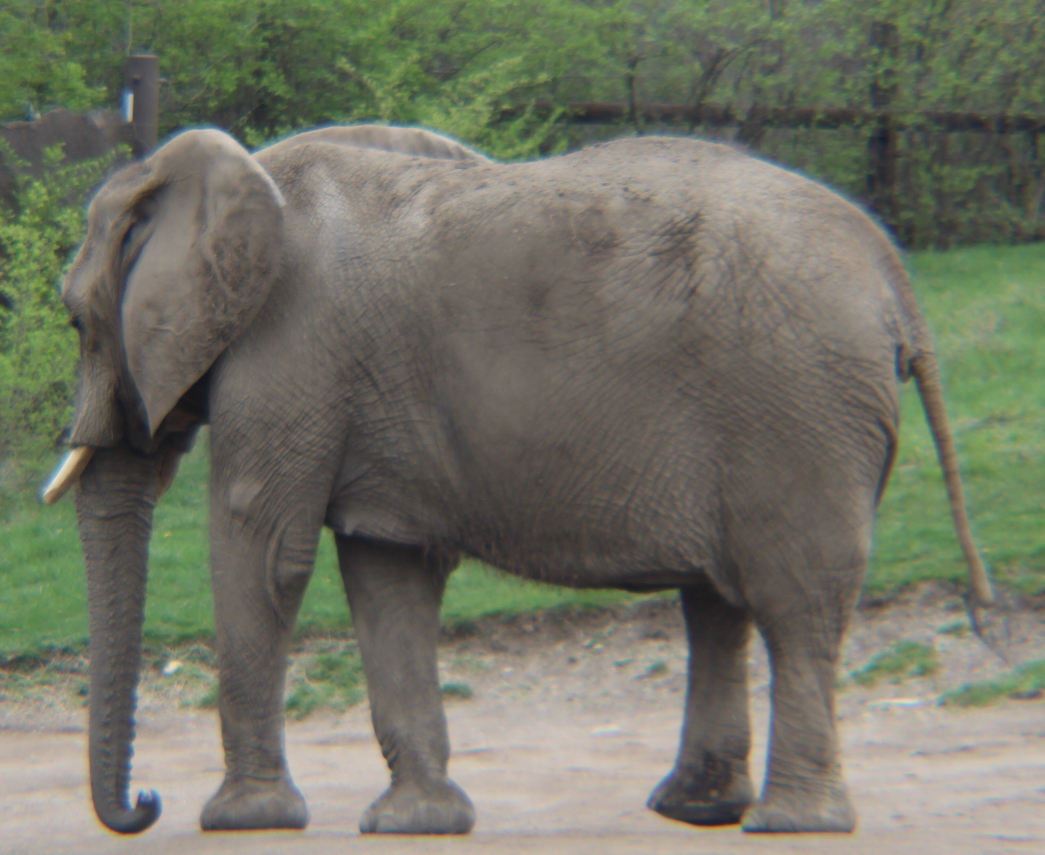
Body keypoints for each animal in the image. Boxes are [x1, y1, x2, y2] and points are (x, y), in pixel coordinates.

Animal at [44, 124, 992, 837]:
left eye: (74, 319)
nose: (144, 801)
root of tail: (888, 267)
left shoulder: (290, 354)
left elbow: (265, 549)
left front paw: (244, 820)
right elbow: (389, 572)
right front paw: (418, 824)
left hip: (796, 407)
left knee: (791, 602)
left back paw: (786, 823)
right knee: (718, 602)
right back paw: (696, 810)